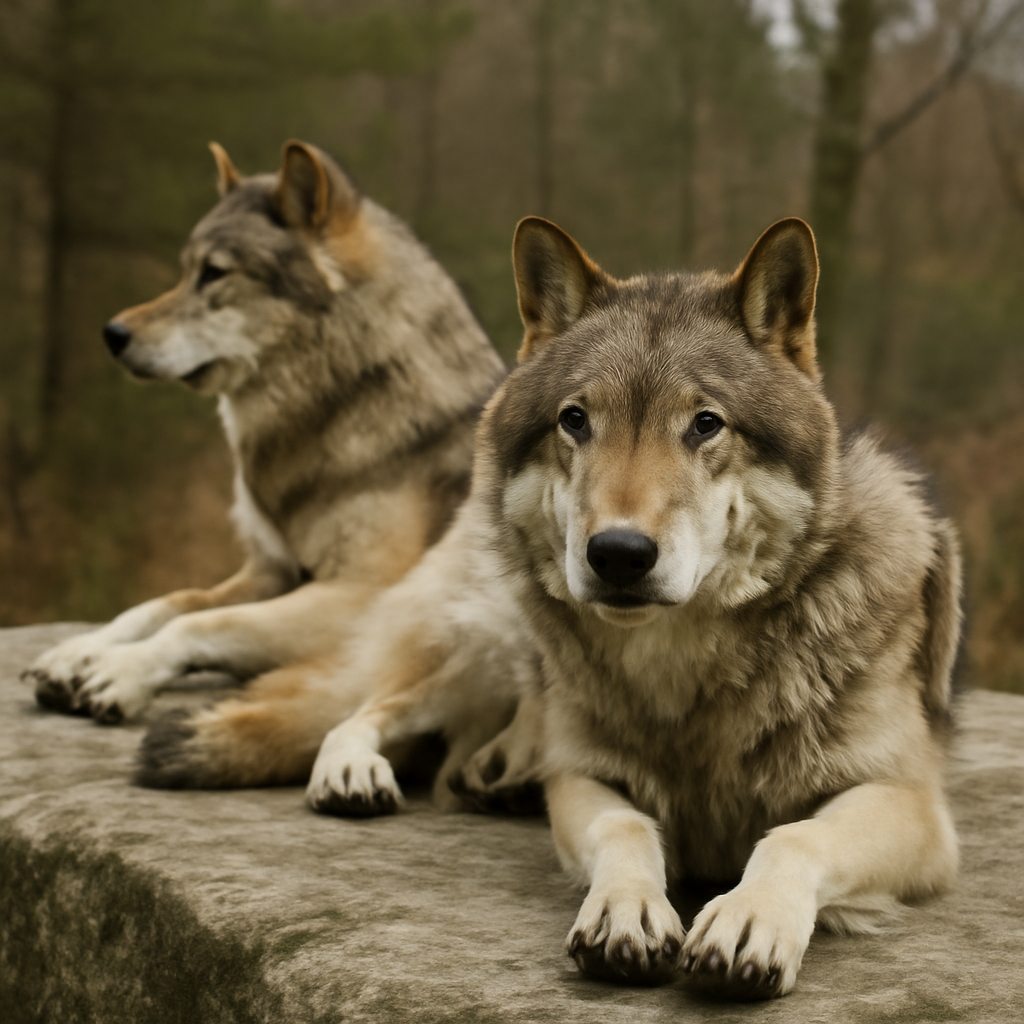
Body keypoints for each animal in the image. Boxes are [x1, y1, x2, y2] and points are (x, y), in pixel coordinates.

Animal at [24, 139, 505, 731]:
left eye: (214, 273)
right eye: (185, 271)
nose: (112, 334)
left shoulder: (360, 595)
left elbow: (201, 624)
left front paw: (119, 673)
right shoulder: (268, 570)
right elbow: (171, 601)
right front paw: (79, 652)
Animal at [248, 214, 960, 1001]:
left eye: (705, 424)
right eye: (575, 420)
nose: (618, 553)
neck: (683, 668)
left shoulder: (910, 803)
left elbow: (795, 836)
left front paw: (747, 918)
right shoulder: (583, 780)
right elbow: (624, 828)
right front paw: (627, 910)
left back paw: (496, 772)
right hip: (494, 641)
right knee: (374, 705)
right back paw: (359, 771)